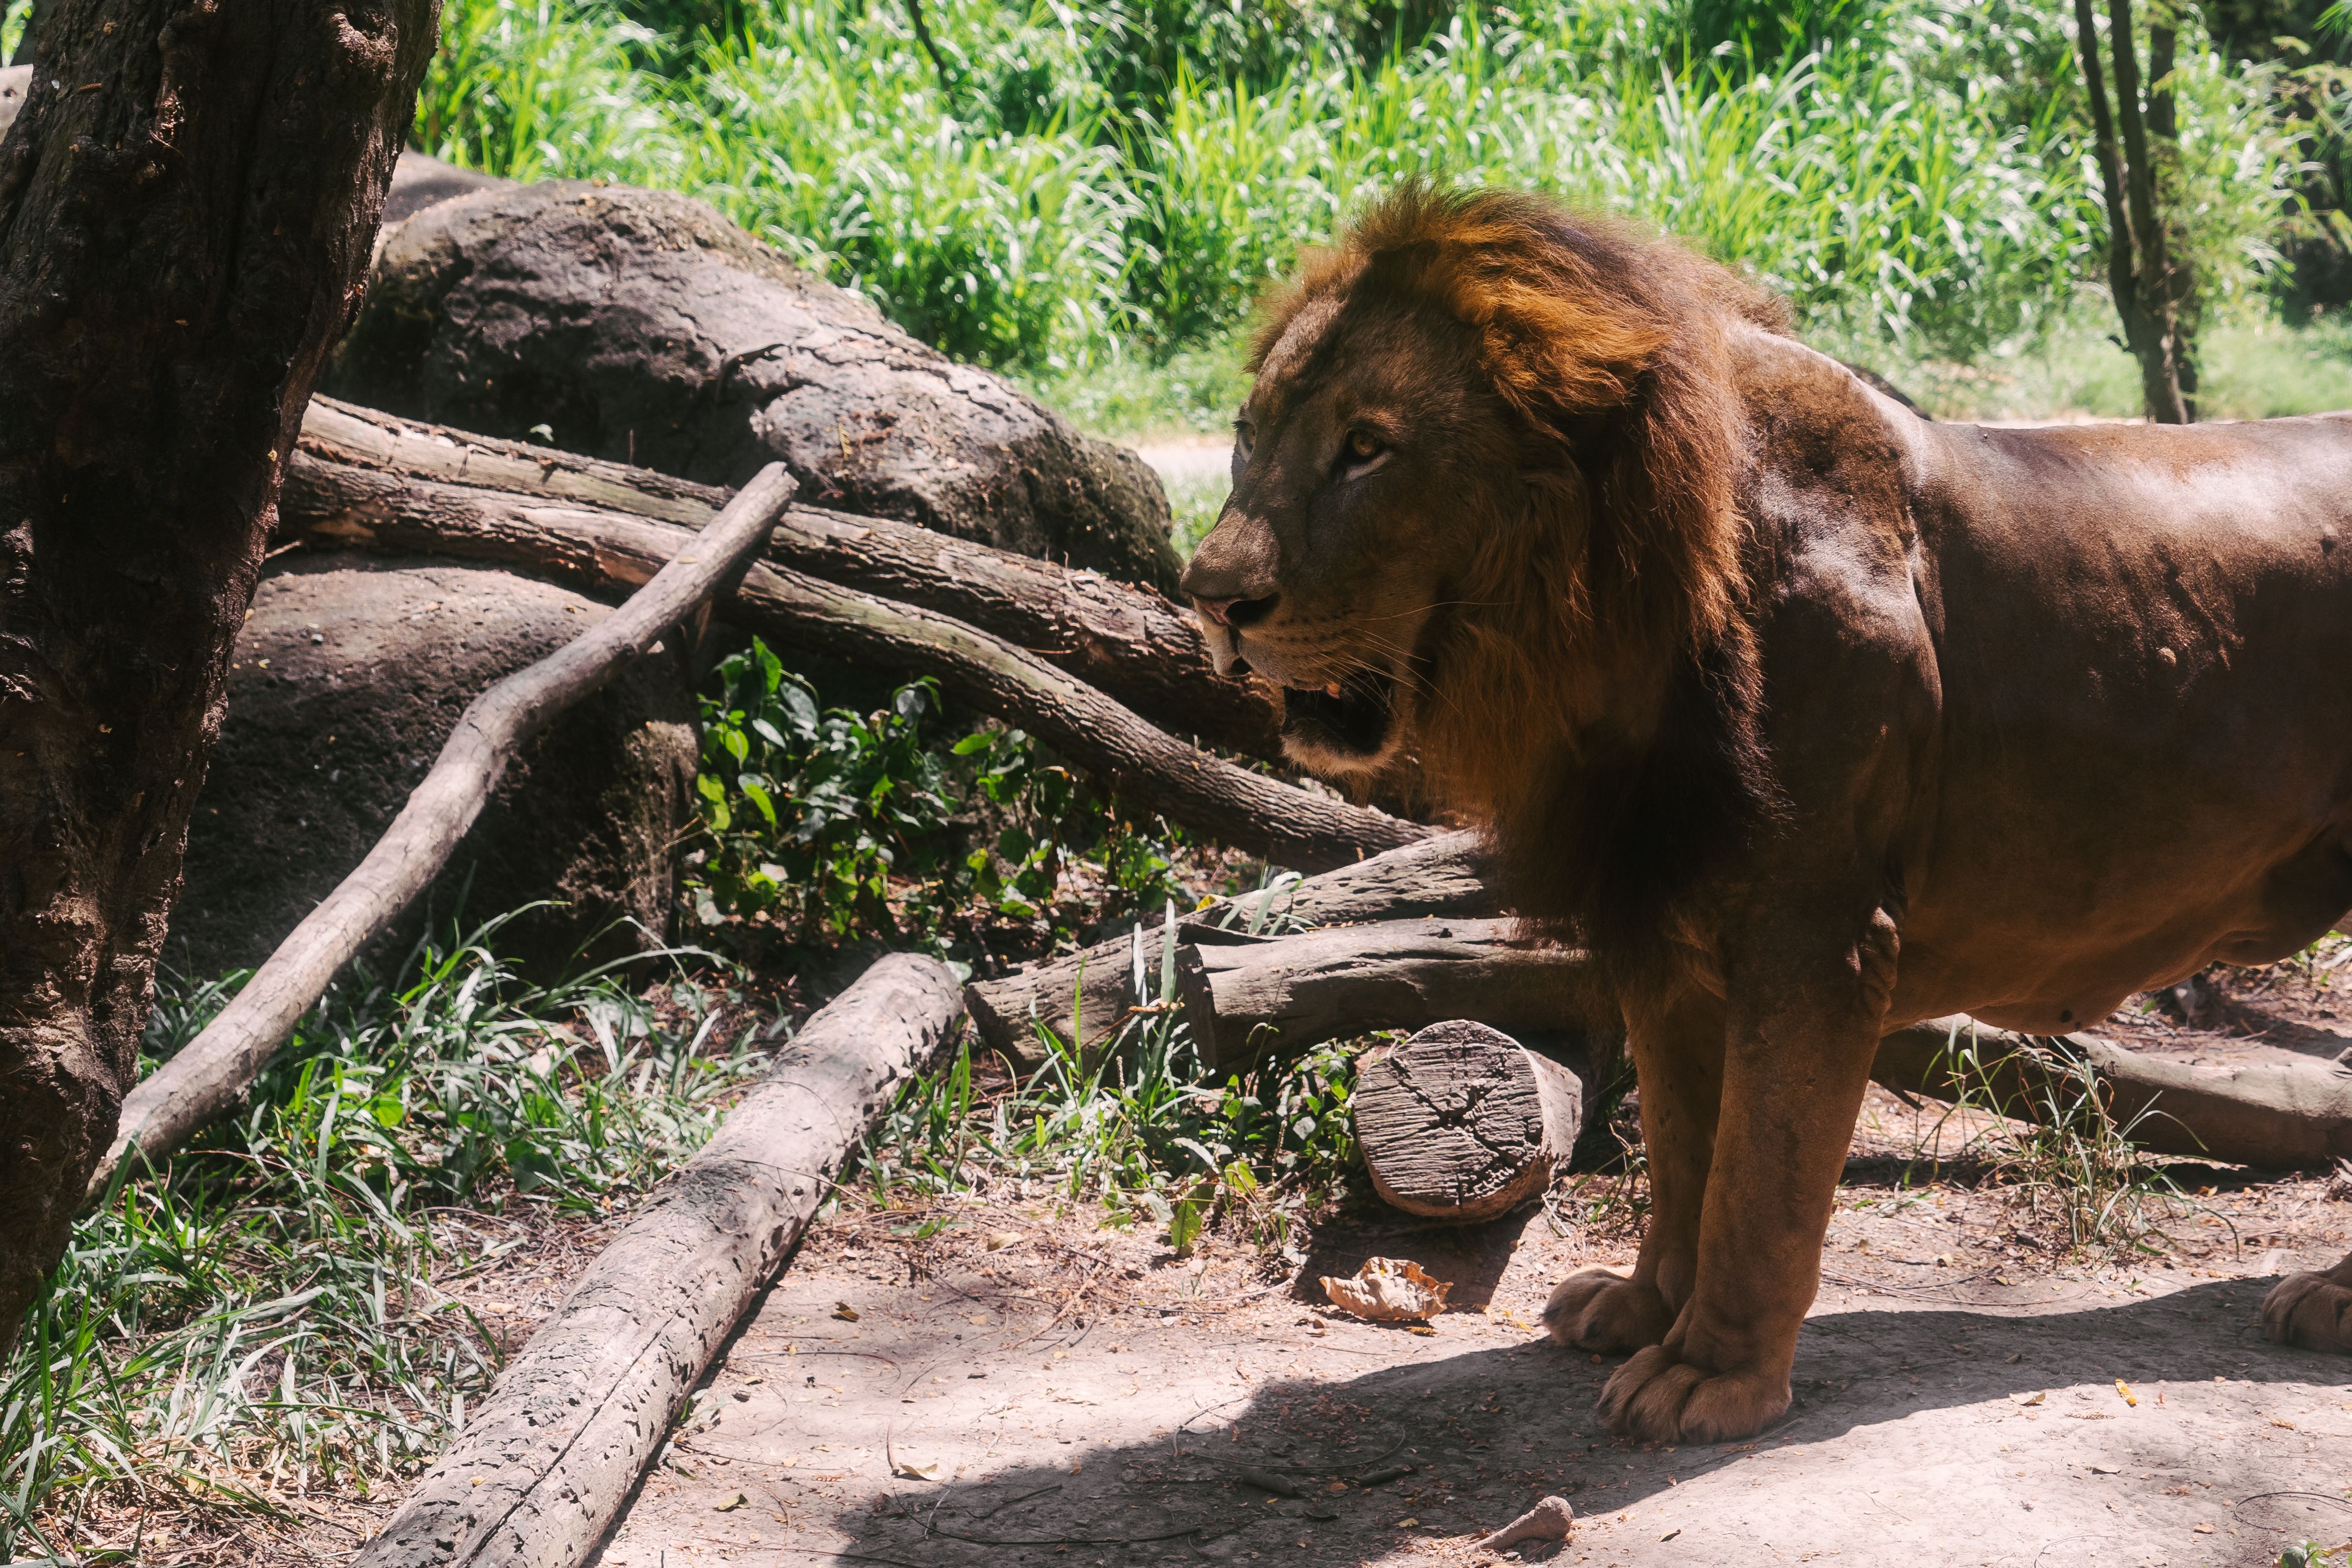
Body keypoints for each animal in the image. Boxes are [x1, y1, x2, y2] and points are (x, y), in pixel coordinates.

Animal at [1178, 185, 2352, 1444]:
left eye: (1367, 446)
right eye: (1248, 435)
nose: (1210, 600)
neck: (1606, 641)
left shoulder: (1818, 935)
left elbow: (1758, 1172)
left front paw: (1711, 1374)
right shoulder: (1666, 934)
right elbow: (1684, 1155)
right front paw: (1645, 1308)